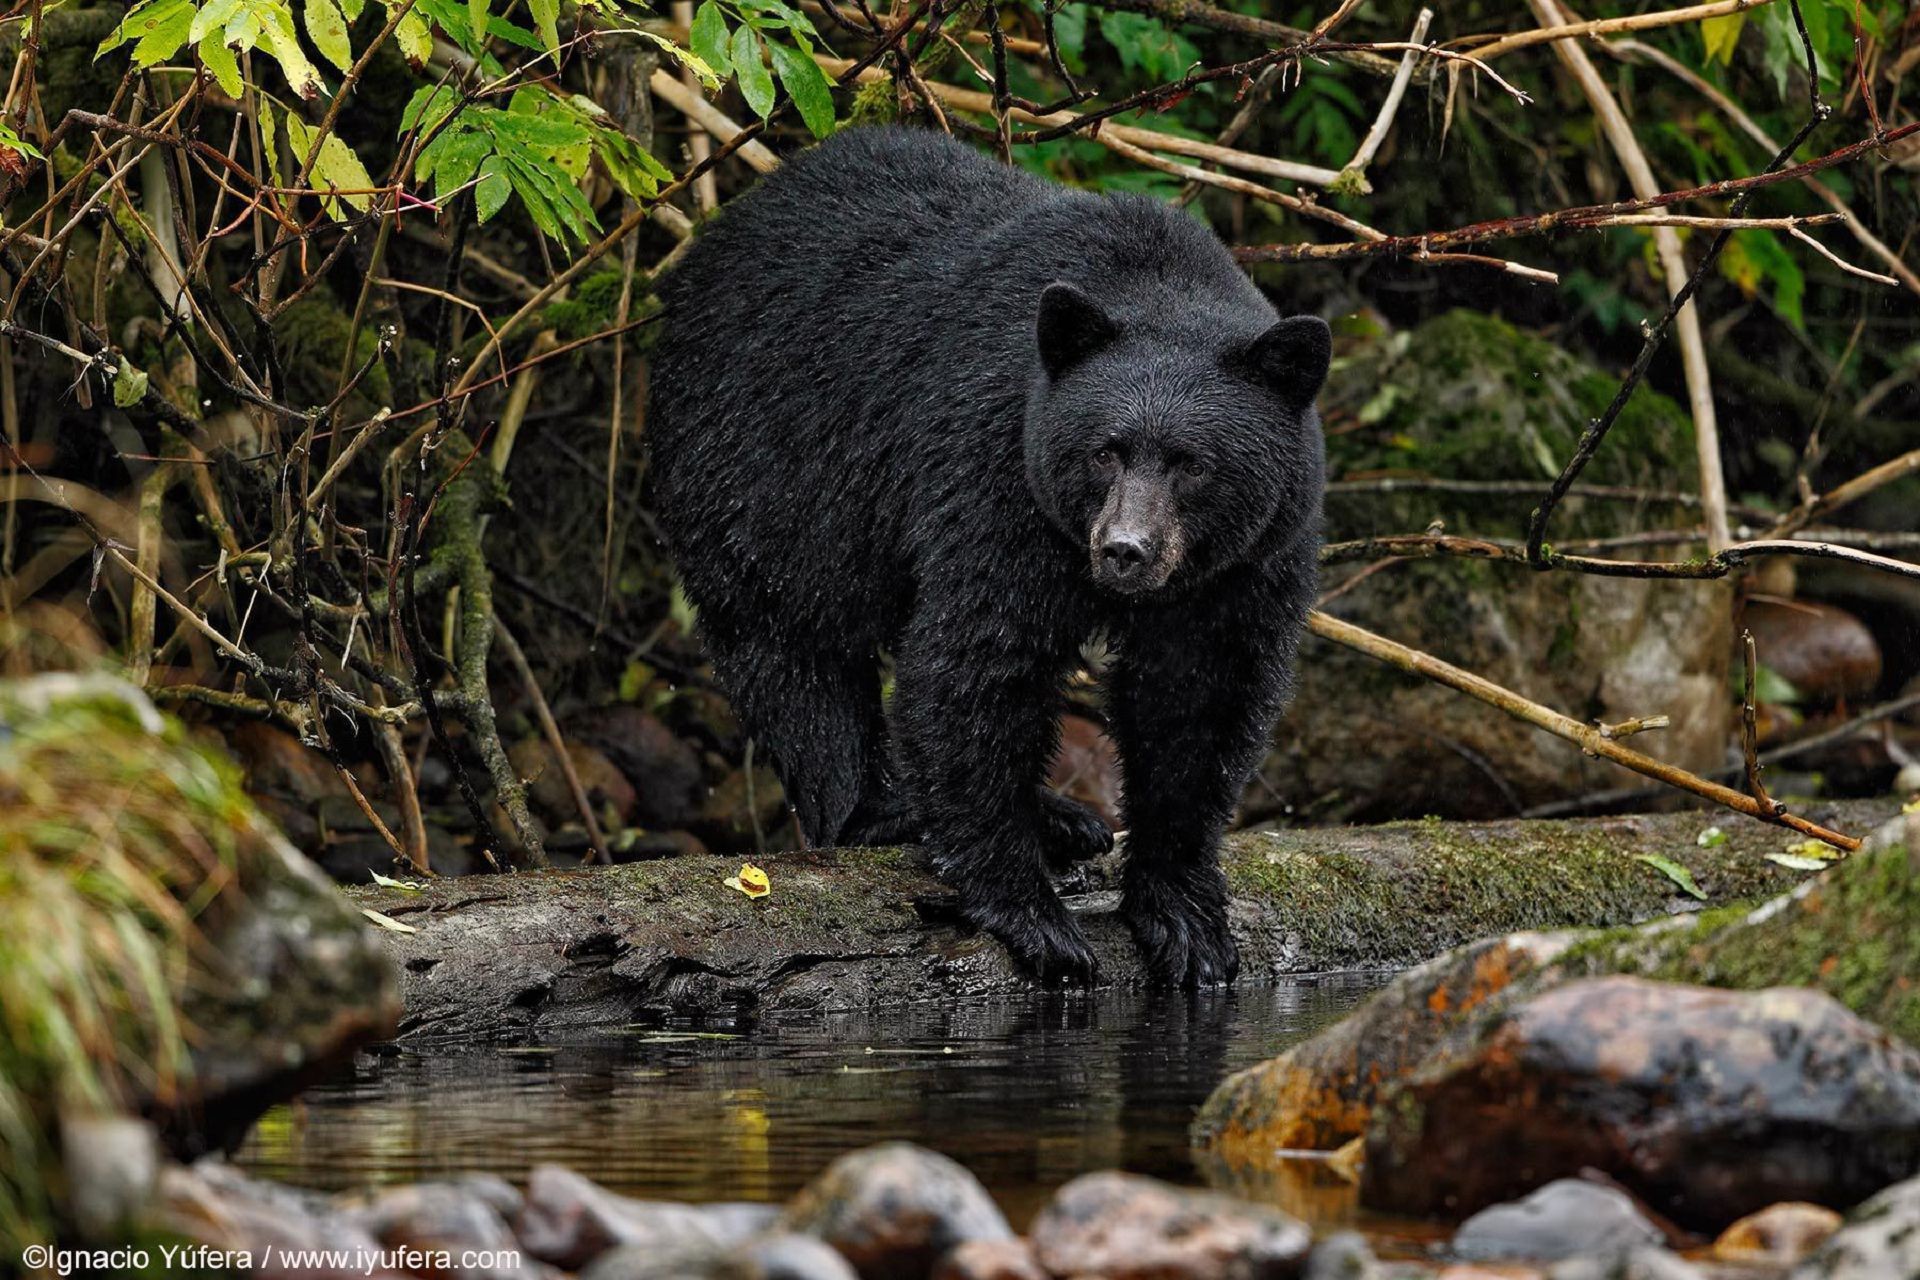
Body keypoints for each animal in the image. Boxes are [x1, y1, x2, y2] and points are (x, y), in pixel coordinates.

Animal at [646, 125, 1329, 987]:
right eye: (1105, 452)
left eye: (1192, 464)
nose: (1125, 551)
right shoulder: (996, 479)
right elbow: (977, 664)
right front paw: (1029, 911)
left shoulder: (1249, 561)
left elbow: (1200, 698)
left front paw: (1185, 917)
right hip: (762, 458)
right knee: (793, 643)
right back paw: (885, 806)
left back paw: (1061, 818)